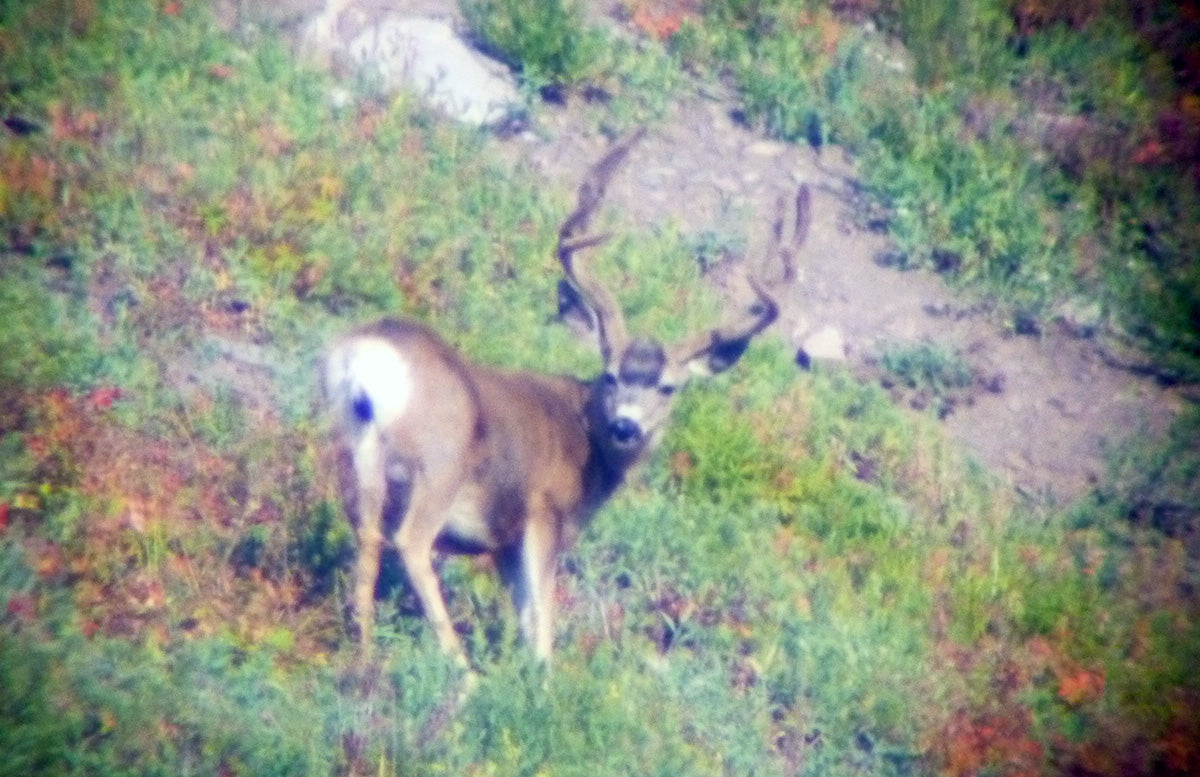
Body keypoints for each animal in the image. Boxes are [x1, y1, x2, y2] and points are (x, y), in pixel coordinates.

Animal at [324, 130, 811, 666]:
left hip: (359, 454)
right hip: (440, 464)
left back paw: (365, 656)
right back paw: (461, 669)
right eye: (610, 375)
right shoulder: (542, 515)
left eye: (668, 387)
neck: (587, 447)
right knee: (410, 544)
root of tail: (367, 358)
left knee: (366, 539)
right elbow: (542, 621)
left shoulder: (502, 542)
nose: (626, 426)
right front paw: (539, 678)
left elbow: (524, 616)